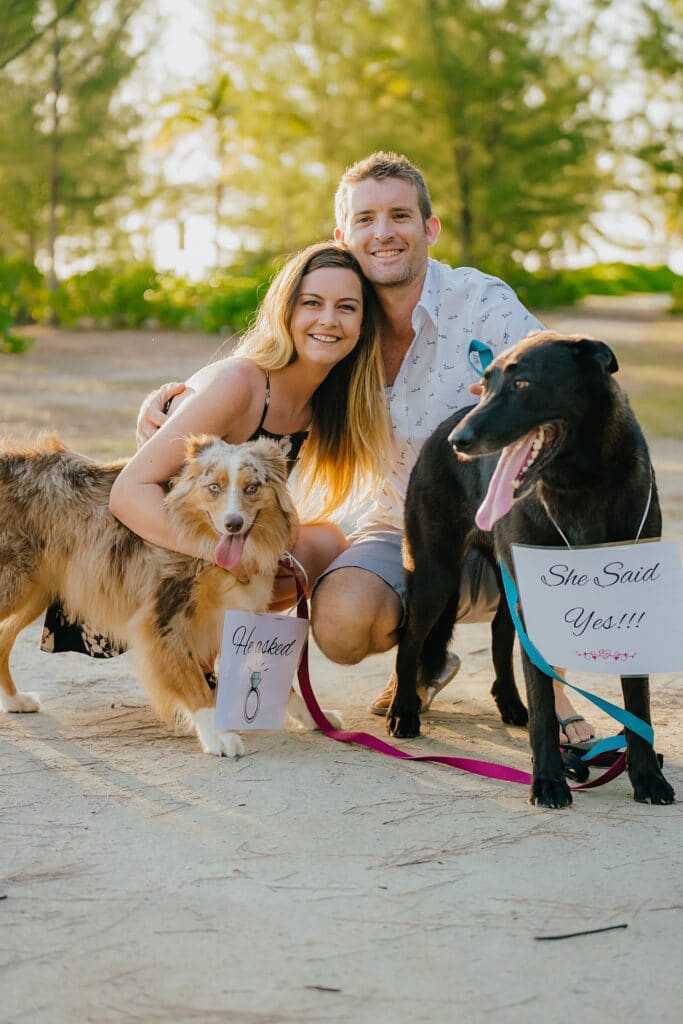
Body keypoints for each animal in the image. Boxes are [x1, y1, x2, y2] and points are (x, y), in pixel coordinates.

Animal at [0, 430, 331, 753]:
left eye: (251, 488)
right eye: (214, 487)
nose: (233, 524)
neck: (202, 544)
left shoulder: (233, 614)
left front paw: (315, 716)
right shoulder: (163, 621)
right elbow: (195, 683)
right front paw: (217, 734)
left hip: (36, 590)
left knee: (3, 637)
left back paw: (15, 701)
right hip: (16, 586)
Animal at [389, 331, 671, 811]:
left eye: (522, 384)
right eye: (486, 384)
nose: (461, 442)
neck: (581, 484)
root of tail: (441, 429)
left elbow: (637, 704)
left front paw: (648, 776)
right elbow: (543, 703)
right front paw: (549, 781)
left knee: (501, 637)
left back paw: (509, 704)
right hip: (435, 574)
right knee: (411, 637)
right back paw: (403, 711)